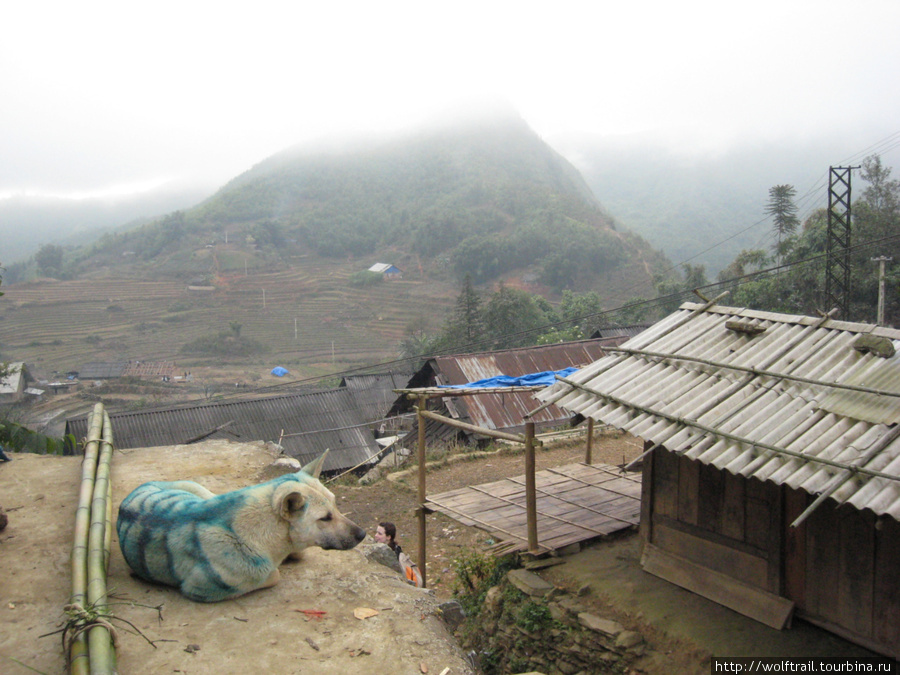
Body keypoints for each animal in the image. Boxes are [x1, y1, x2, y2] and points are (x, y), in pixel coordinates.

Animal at [115, 454, 362, 604]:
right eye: (325, 518)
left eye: (336, 505)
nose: (362, 534)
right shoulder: (199, 589)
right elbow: (274, 573)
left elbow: (297, 553)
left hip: (198, 490)